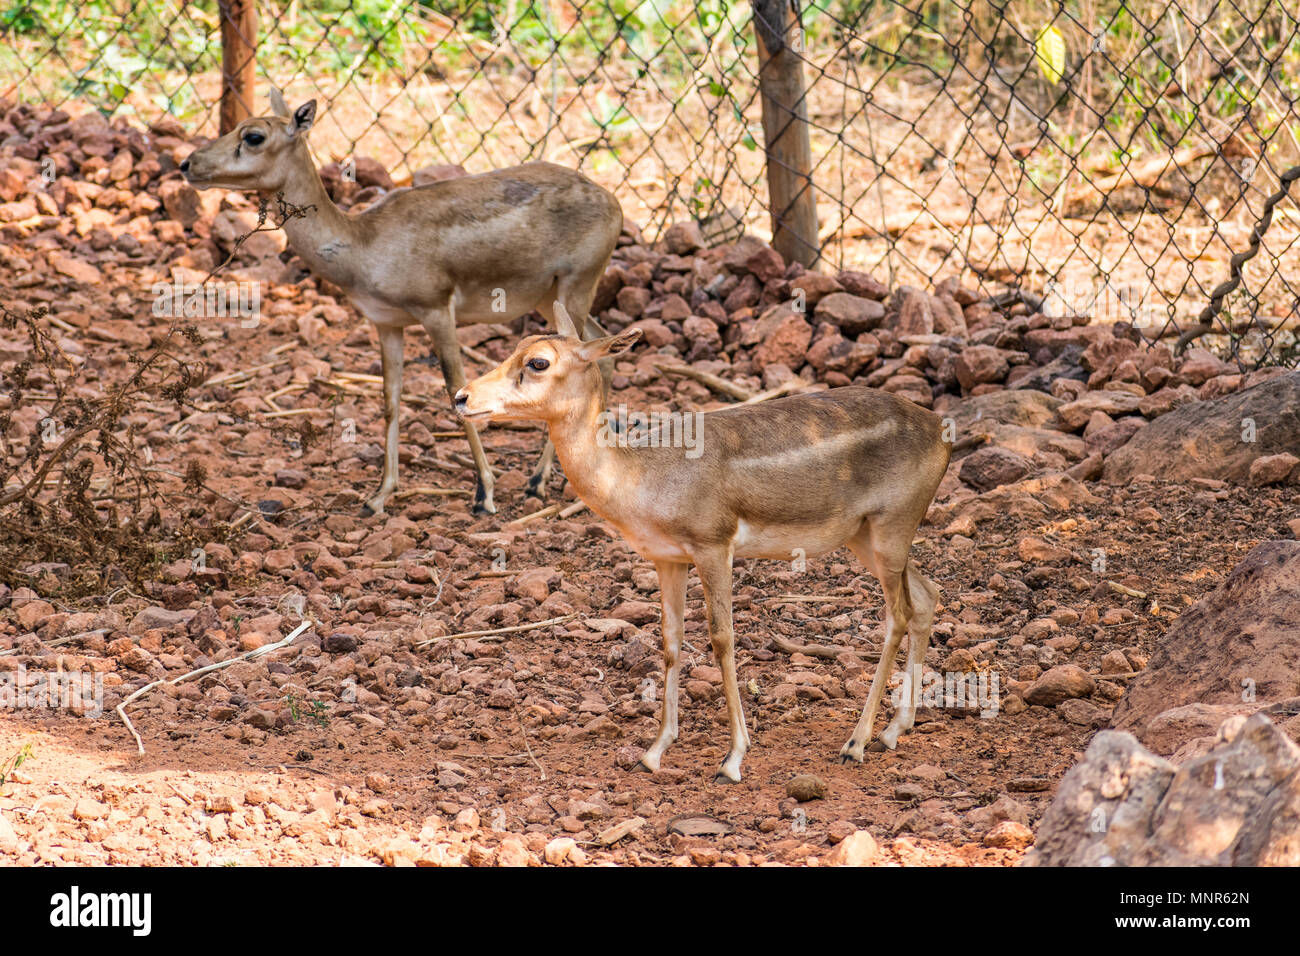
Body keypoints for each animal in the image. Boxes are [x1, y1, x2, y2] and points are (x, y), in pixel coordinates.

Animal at [179, 91, 624, 515]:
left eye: (253, 136)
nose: (187, 164)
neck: (364, 245)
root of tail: (614, 202)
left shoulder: (436, 310)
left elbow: (455, 389)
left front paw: (484, 493)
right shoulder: (386, 323)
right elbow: (390, 400)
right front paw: (378, 496)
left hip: (576, 285)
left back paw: (536, 482)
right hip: (551, 297)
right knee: (602, 350)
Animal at [452, 304, 951, 785]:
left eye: (538, 362)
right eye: (517, 345)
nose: (461, 397)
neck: (640, 475)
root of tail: (940, 429)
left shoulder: (714, 544)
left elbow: (722, 638)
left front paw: (732, 760)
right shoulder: (667, 559)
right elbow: (671, 640)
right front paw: (652, 753)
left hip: (891, 528)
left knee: (898, 613)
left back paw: (856, 743)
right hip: (864, 537)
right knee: (927, 595)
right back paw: (893, 730)